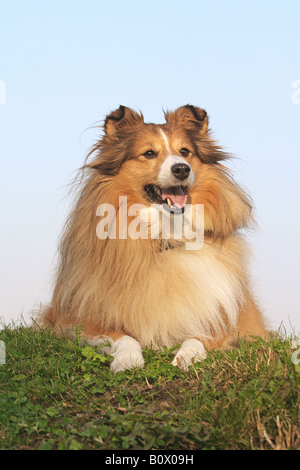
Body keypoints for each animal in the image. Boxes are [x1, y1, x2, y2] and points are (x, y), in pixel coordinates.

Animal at [38, 105, 268, 370]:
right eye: (149, 153)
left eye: (184, 152)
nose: (182, 169)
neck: (166, 235)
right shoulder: (80, 318)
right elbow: (122, 336)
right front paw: (127, 359)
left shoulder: (227, 316)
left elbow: (200, 336)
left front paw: (187, 357)